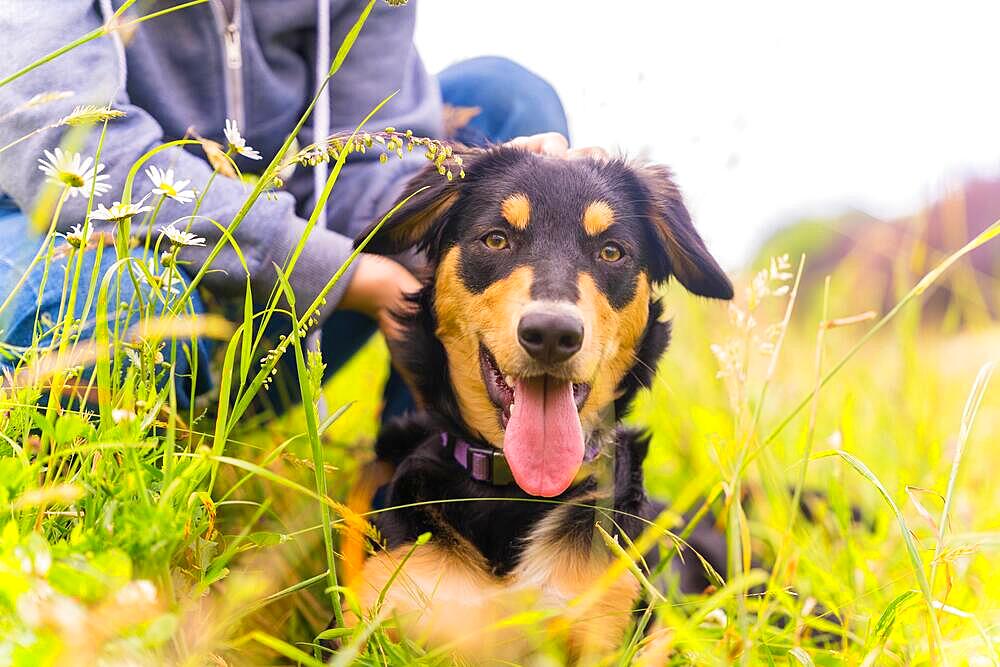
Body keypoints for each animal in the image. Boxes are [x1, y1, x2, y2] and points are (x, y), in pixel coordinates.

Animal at [340, 146, 732, 664]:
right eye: (497, 239)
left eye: (612, 251)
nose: (551, 333)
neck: (514, 494)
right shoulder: (376, 615)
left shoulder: (611, 625)